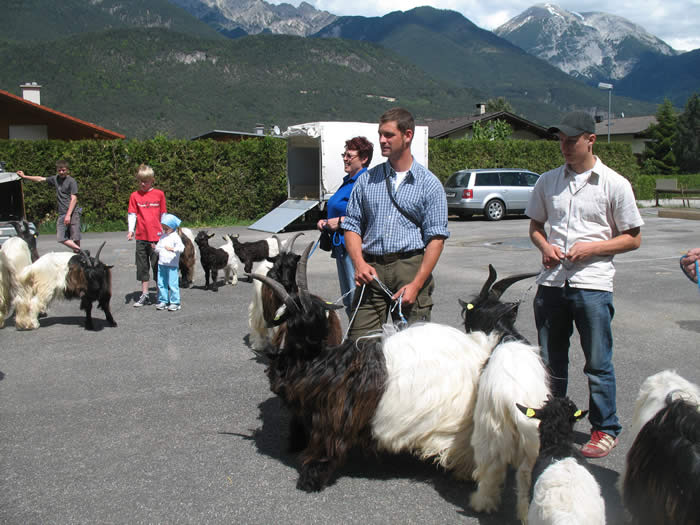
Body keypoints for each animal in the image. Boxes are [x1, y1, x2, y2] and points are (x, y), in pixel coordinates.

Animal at [252, 244, 498, 494]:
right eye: (293, 320)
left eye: (310, 315)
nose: (310, 339)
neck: (315, 358)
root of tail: (479, 349)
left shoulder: (329, 420)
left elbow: (324, 450)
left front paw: (310, 480)